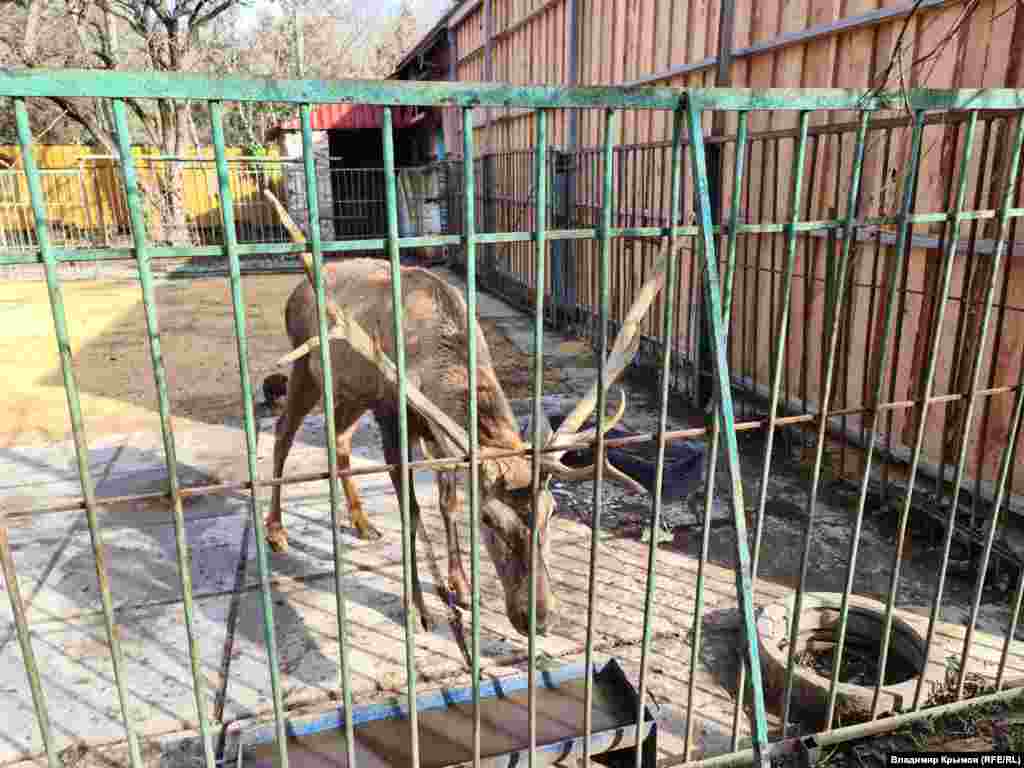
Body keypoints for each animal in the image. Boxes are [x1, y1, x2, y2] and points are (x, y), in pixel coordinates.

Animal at [260, 189, 667, 634]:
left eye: (552, 511)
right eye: (488, 520)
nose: (538, 617)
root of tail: (294, 292)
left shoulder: (441, 436)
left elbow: (447, 501)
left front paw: (462, 587)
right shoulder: (392, 415)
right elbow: (411, 510)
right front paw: (418, 607)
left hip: (352, 390)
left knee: (339, 437)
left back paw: (362, 523)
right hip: (306, 368)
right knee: (283, 432)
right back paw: (276, 531)